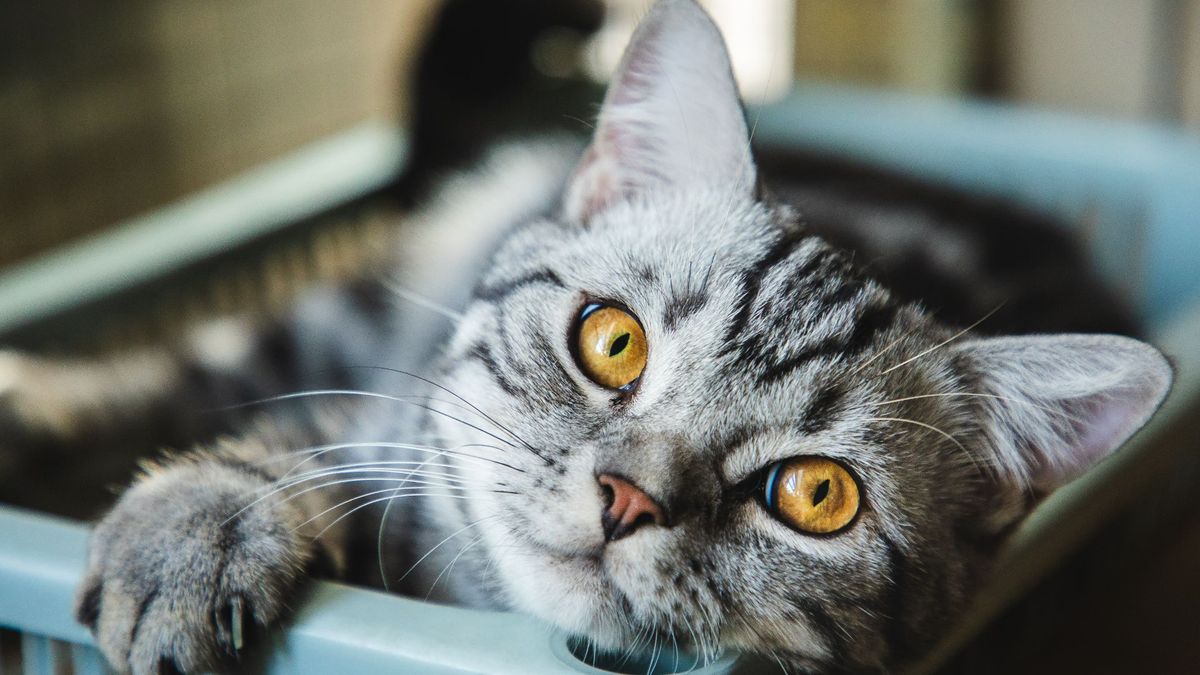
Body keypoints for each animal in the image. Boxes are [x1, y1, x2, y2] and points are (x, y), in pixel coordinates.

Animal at [0, 1, 1171, 672]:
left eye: (816, 494)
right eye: (612, 343)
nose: (628, 497)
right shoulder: (390, 419)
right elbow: (294, 443)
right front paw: (200, 525)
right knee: (190, 363)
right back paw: (33, 405)